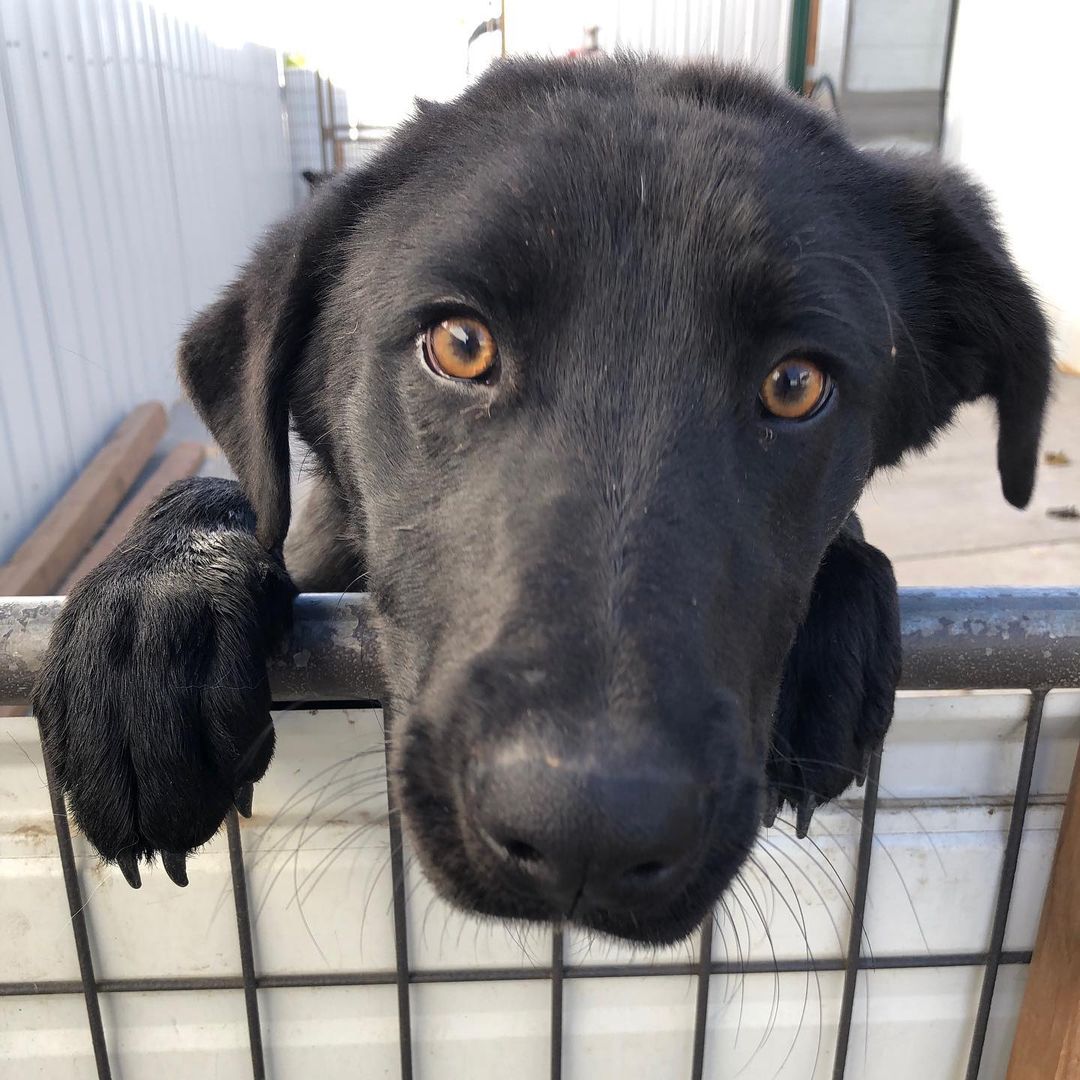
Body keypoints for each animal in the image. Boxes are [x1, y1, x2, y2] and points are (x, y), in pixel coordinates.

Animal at [31, 59, 1045, 946]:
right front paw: (151, 617)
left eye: (796, 385)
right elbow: (236, 499)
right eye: (460, 343)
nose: (586, 833)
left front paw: (838, 619)